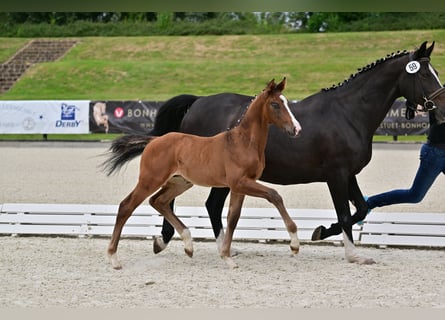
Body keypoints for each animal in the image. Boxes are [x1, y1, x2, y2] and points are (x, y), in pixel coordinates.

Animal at [147, 40, 444, 264]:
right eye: (424, 74)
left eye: (435, 72)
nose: (441, 106)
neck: (348, 113)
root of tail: (197, 103)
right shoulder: (336, 175)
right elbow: (345, 213)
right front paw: (352, 254)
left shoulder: (349, 175)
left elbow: (360, 209)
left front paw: (321, 232)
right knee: (188, 202)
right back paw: (172, 240)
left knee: (209, 205)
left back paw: (212, 246)